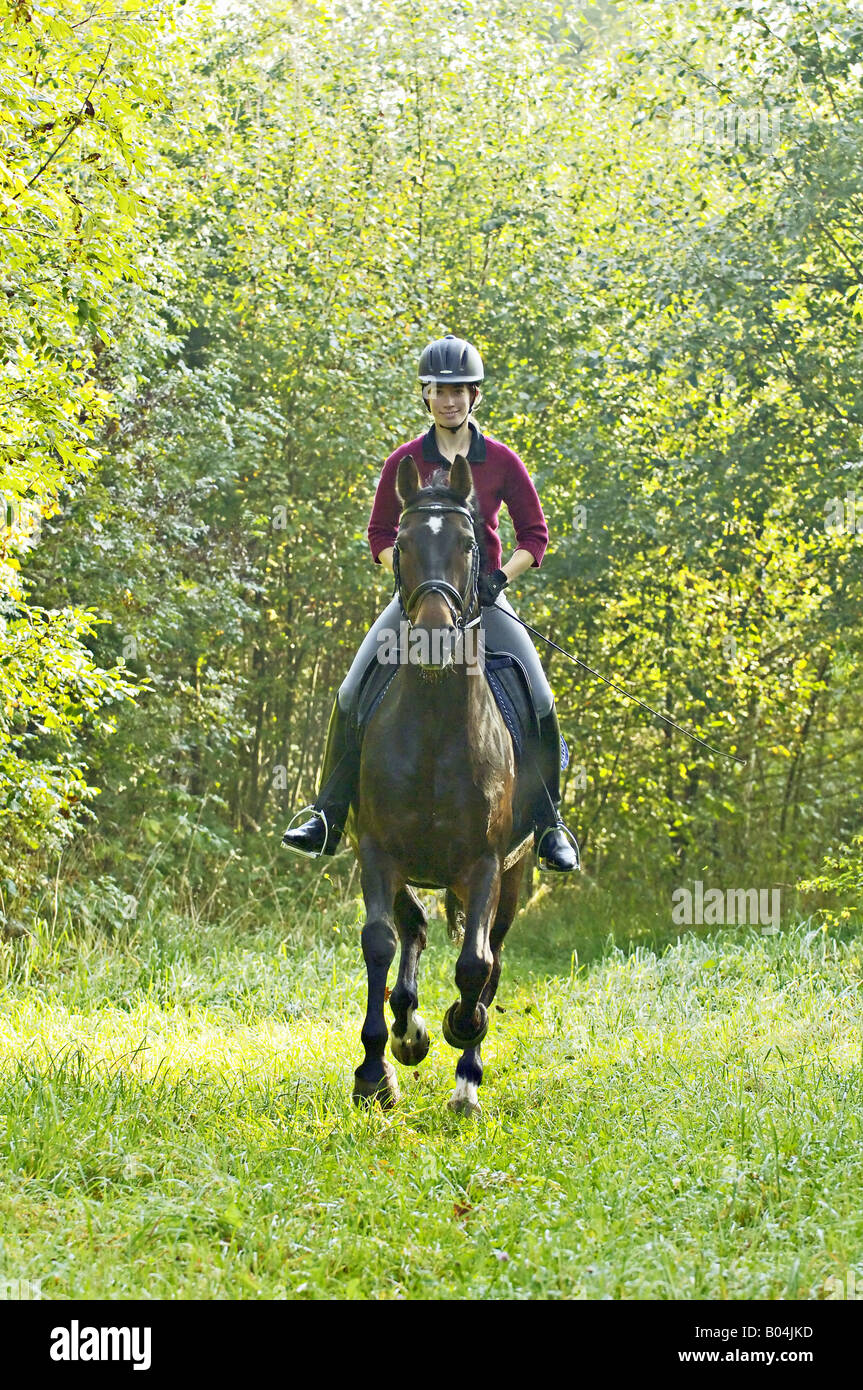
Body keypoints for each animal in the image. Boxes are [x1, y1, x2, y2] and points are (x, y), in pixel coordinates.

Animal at [343, 452, 538, 1116]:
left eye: (467, 542)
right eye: (402, 544)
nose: (432, 639)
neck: (432, 727)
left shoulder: (484, 864)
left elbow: (475, 965)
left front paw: (462, 1033)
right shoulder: (376, 850)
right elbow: (381, 942)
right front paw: (379, 1066)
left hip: (515, 876)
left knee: (492, 957)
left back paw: (465, 1071)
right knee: (415, 931)